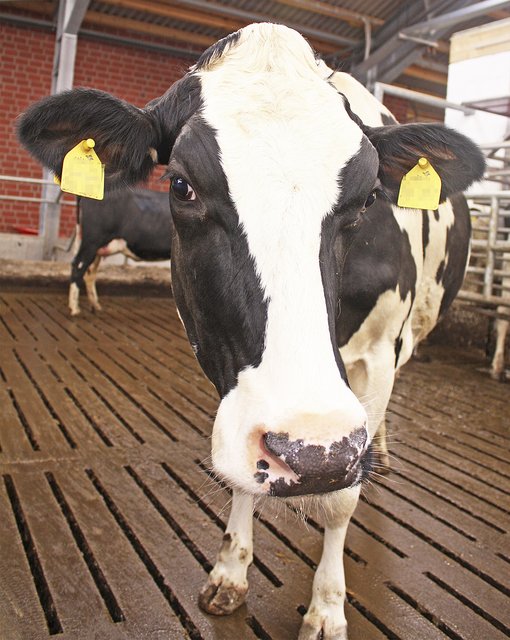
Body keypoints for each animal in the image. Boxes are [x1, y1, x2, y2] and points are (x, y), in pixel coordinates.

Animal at [17, 23, 485, 640]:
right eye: (181, 185)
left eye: (368, 199)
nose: (311, 455)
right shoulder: (228, 368)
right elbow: (241, 474)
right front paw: (231, 571)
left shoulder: (377, 356)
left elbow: (342, 500)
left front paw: (327, 608)